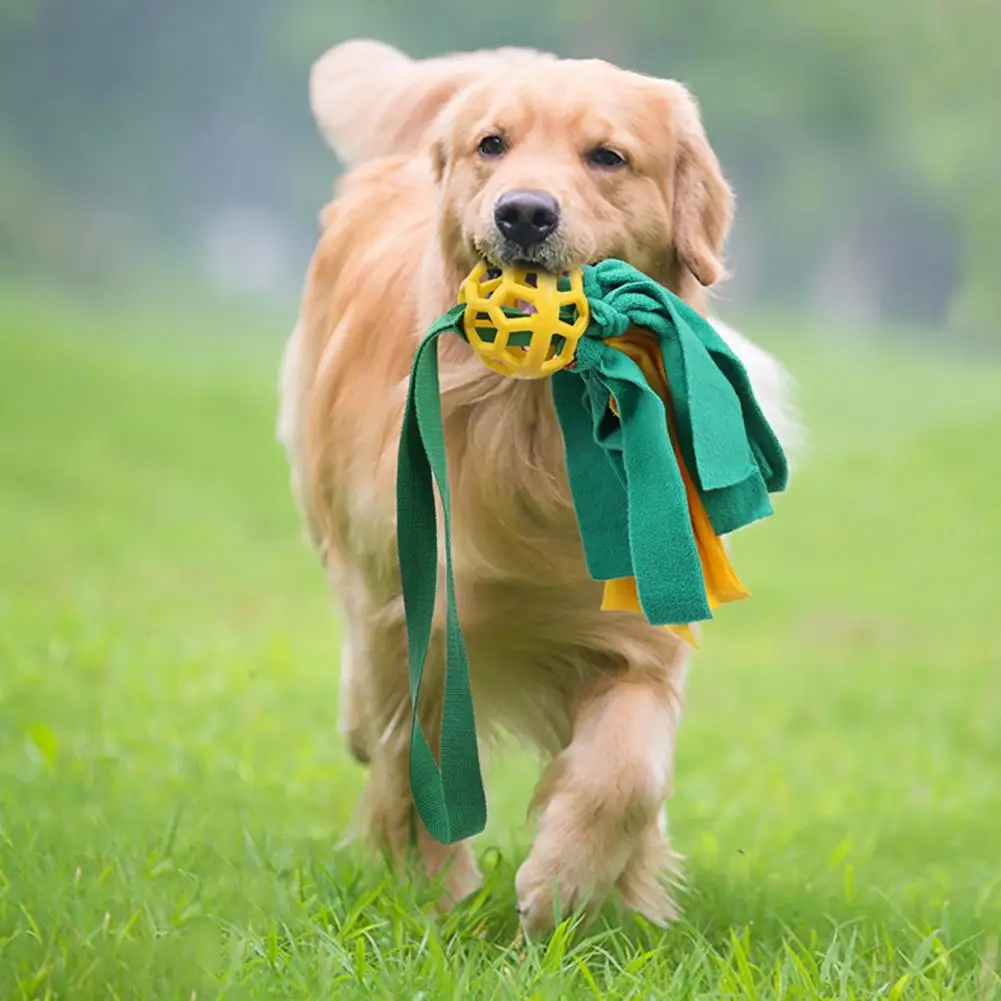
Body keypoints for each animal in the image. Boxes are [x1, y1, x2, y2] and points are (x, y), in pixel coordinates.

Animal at [276, 37, 796, 928]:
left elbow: (627, 775)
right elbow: (415, 763)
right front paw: (434, 894)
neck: (530, 420)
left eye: (607, 156)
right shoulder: (416, 613)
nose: (524, 213)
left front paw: (566, 883)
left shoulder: (643, 624)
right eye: (493, 144)